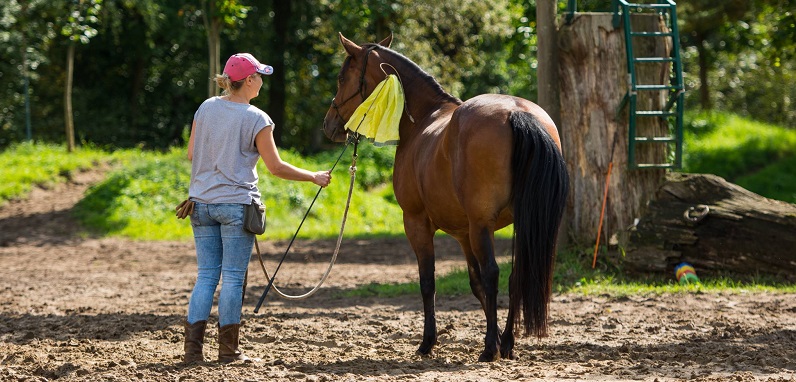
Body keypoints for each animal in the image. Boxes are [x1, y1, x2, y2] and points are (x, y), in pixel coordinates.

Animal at [320, 32, 568, 362]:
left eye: (341, 77)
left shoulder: (417, 223)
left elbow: (429, 282)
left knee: (493, 273)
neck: (425, 118)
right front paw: (496, 338)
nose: (329, 124)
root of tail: (517, 112)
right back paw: (506, 343)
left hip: (482, 225)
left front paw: (428, 342)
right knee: (516, 276)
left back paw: (489, 350)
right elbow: (475, 283)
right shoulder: (464, 234)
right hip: (520, 223)